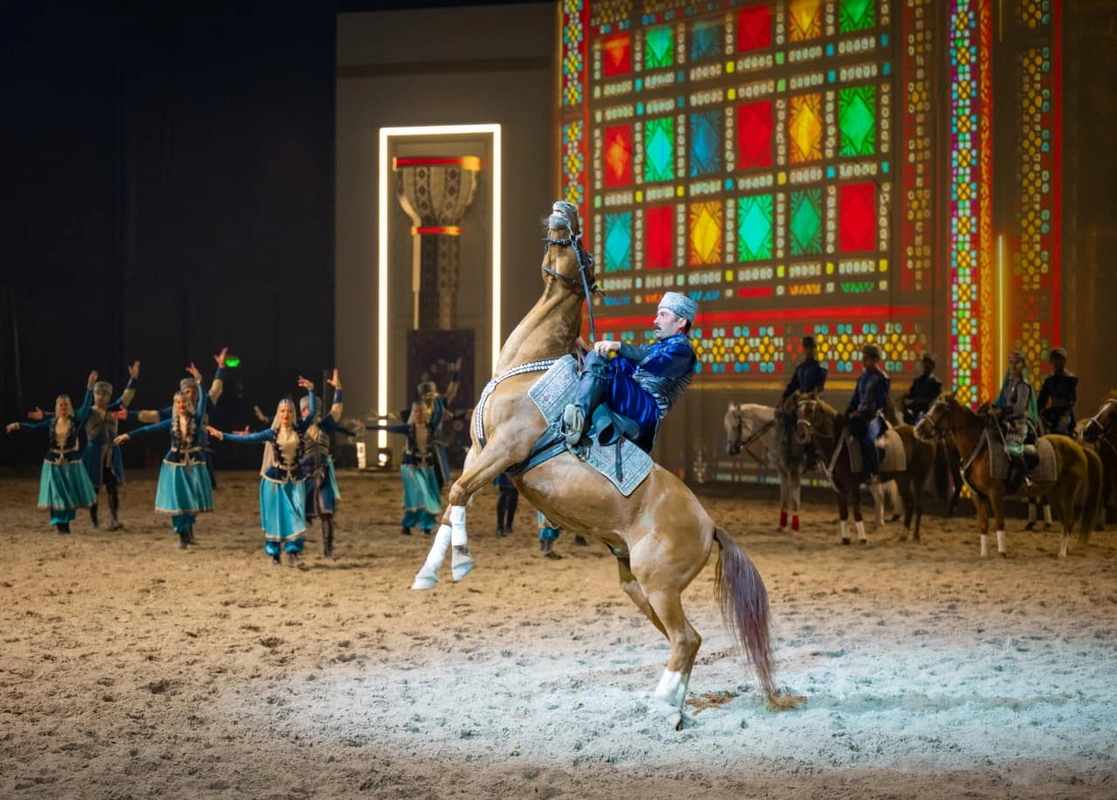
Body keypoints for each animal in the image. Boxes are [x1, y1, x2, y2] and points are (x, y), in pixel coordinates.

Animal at [723, 402, 805, 531]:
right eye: (727, 427)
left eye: (735, 426)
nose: (731, 450)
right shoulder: (782, 472)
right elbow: (784, 498)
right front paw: (782, 526)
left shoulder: (794, 472)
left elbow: (795, 500)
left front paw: (795, 527)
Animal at [794, 390, 941, 544]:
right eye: (798, 411)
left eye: (811, 410)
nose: (801, 435)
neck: (839, 444)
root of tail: (922, 435)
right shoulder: (838, 487)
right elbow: (843, 513)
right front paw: (845, 539)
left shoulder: (853, 485)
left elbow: (857, 511)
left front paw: (863, 538)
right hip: (903, 478)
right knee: (909, 504)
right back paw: (903, 535)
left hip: (919, 477)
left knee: (917, 504)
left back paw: (915, 536)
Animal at [914, 394, 1103, 558]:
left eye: (942, 410)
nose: (918, 429)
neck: (980, 450)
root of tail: (1078, 448)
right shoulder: (977, 496)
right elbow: (983, 524)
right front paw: (984, 554)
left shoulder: (995, 493)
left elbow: (999, 521)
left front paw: (1002, 552)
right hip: (1054, 493)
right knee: (1064, 521)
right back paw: (1062, 550)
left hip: (1066, 493)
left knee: (1069, 521)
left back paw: (1062, 553)